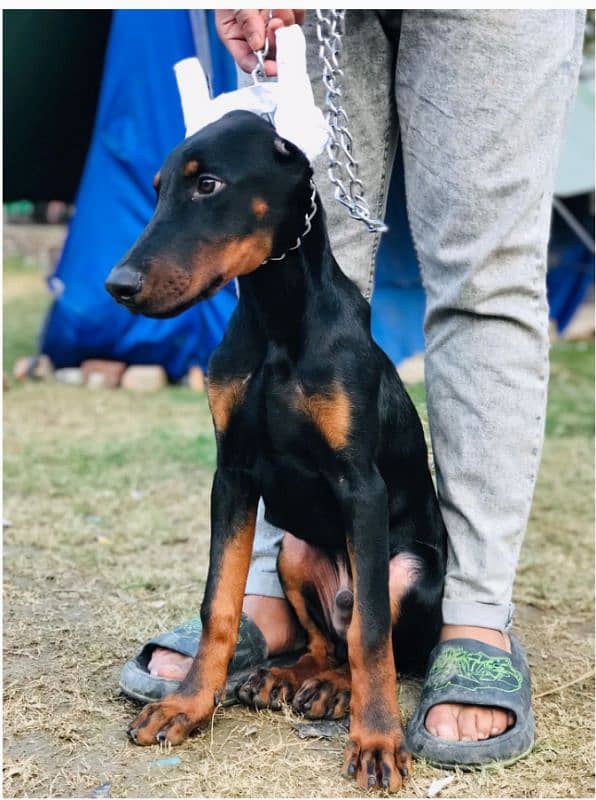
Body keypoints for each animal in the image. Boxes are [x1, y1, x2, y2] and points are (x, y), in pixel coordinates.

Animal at [106, 109, 448, 792]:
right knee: (325, 641)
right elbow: (218, 604)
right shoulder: (232, 474)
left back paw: (337, 693)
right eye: (155, 190)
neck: (275, 318)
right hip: (294, 550)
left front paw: (378, 740)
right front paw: (187, 706)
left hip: (411, 569)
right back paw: (287, 677)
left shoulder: (360, 486)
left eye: (208, 185)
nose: (116, 286)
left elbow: (374, 633)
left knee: (369, 638)